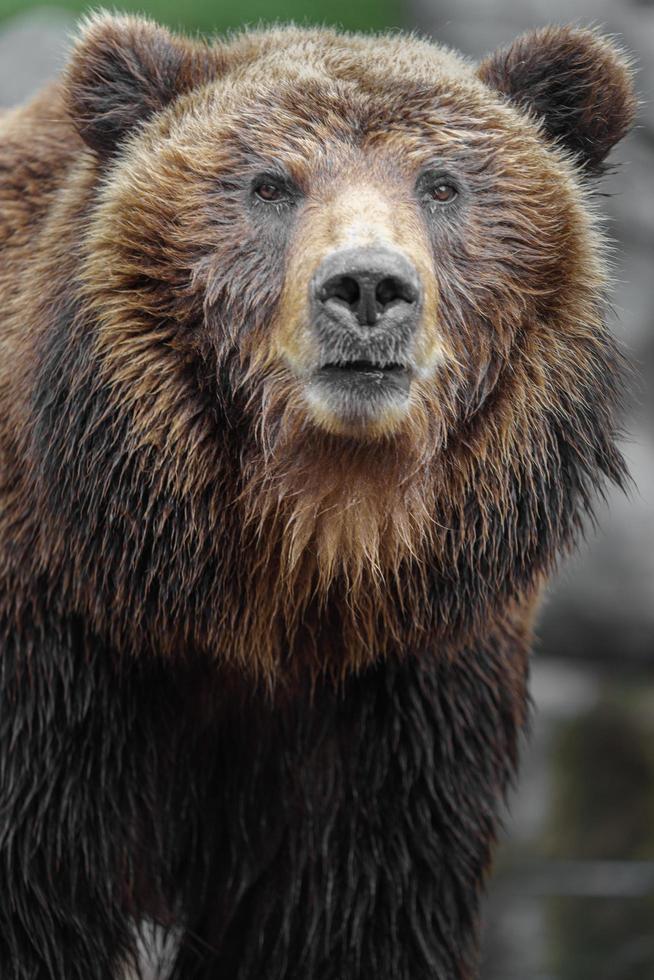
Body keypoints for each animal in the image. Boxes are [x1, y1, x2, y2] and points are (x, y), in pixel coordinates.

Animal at [0, 13, 636, 980]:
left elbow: (350, 916)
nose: (368, 286)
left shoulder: (401, 701)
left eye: (441, 182)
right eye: (270, 183)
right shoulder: (53, 663)